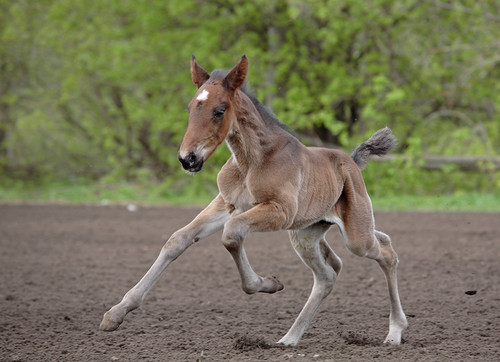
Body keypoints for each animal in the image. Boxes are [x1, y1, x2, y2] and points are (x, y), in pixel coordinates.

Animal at [99, 55, 408, 346]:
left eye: (219, 110)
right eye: (190, 108)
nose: (188, 159)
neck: (252, 160)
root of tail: (352, 162)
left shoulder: (279, 211)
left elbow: (232, 234)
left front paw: (267, 283)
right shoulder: (227, 203)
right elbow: (178, 239)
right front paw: (116, 313)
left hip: (354, 236)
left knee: (387, 253)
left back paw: (394, 332)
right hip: (305, 234)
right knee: (330, 273)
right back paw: (289, 339)